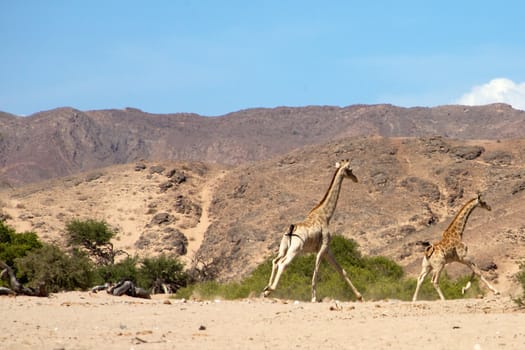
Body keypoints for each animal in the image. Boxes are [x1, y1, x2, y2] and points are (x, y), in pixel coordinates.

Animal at [260, 160, 362, 302]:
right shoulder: (323, 247)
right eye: (350, 169)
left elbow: (341, 271)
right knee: (283, 263)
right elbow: (316, 272)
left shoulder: (327, 250)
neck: (326, 215)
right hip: (295, 249)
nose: (356, 179)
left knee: (275, 261)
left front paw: (359, 296)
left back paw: (266, 290)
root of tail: (291, 230)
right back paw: (271, 289)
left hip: (283, 248)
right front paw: (314, 298)